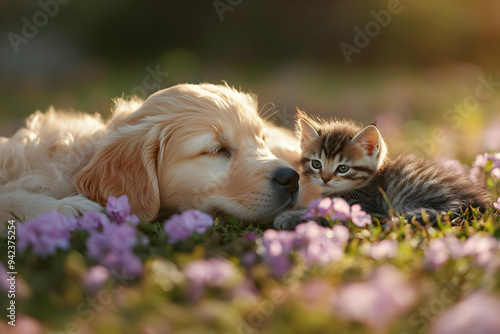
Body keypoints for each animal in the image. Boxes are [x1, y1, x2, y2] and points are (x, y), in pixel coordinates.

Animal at [274, 109, 492, 230]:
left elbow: (323, 215)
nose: (325, 178)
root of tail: (474, 200)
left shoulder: (364, 209)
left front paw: (287, 217)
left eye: (343, 168)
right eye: (316, 164)